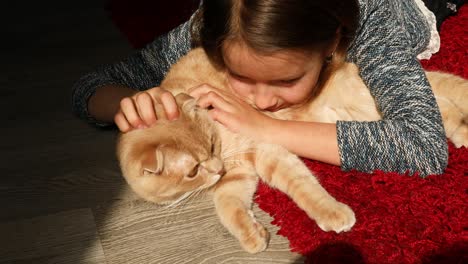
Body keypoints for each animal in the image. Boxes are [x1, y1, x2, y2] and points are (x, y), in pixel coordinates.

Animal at [116, 48, 468, 254]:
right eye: (192, 171)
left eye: (212, 145)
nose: (215, 167)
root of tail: (346, 68)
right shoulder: (236, 176)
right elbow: (228, 207)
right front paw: (252, 235)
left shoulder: (268, 150)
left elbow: (304, 188)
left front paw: (332, 213)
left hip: (364, 110)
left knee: (439, 106)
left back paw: (460, 128)